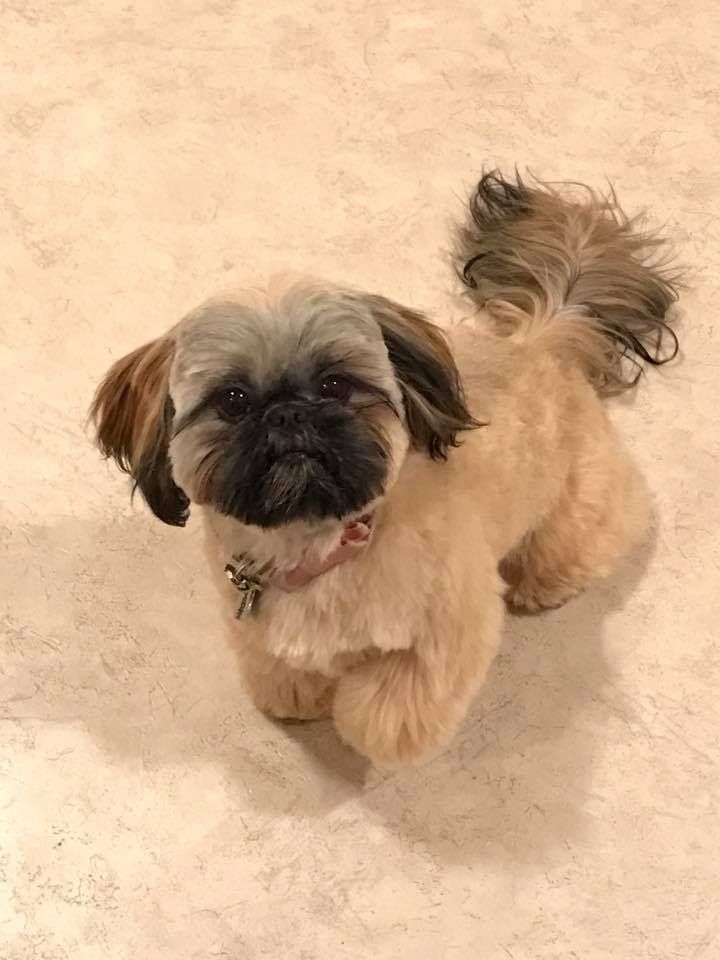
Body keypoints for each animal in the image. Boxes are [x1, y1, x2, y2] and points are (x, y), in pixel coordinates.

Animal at [93, 174, 676, 764]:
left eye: (335, 385)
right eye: (233, 400)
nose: (289, 413)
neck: (319, 547)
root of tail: (542, 336)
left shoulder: (450, 626)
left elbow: (386, 707)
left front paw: (361, 725)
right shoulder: (254, 625)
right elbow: (280, 667)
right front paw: (297, 695)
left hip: (579, 512)